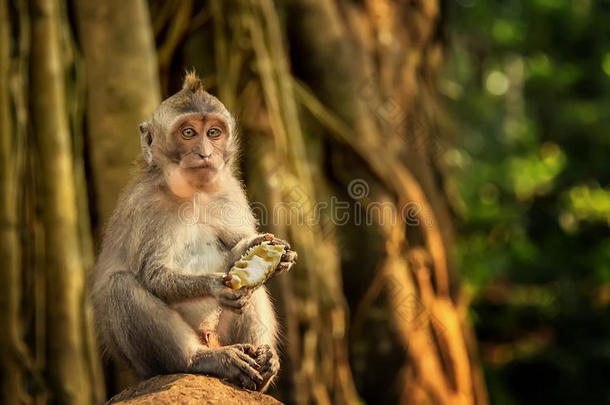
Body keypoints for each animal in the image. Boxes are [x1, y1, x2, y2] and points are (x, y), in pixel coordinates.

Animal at [90, 70, 296, 392]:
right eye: (188, 133)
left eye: (213, 133)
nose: (205, 153)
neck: (194, 194)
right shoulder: (146, 206)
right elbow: (154, 274)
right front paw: (214, 286)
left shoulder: (229, 192)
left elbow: (238, 253)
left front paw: (270, 249)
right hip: (146, 364)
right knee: (119, 286)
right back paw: (200, 359)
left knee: (255, 291)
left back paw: (263, 363)